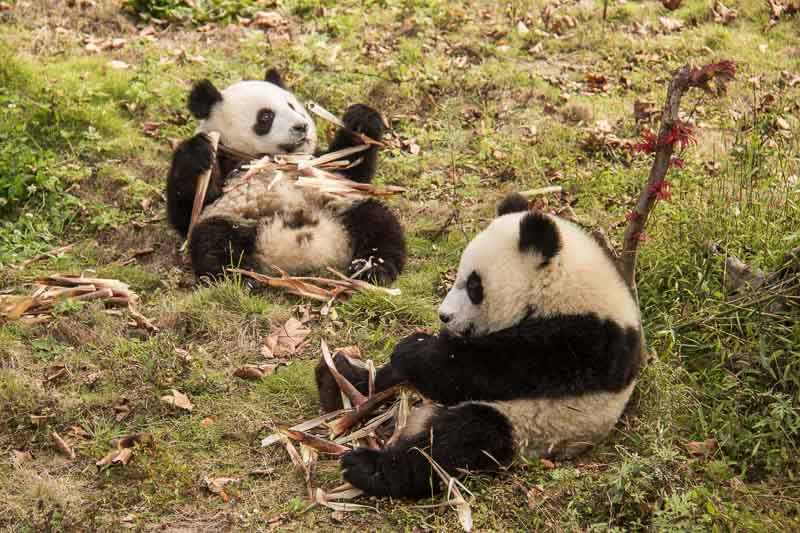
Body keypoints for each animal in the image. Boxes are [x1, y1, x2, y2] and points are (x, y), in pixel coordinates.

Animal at [166, 68, 406, 285]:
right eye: (266, 116)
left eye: (292, 106)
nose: (302, 126)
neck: (274, 158)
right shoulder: (225, 171)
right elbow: (187, 213)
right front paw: (196, 152)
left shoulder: (317, 166)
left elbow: (351, 168)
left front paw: (361, 119)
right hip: (236, 217)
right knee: (212, 239)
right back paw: (243, 277)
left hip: (341, 206)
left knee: (377, 221)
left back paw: (372, 268)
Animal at [315, 192, 643, 498]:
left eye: (475, 286)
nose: (444, 316)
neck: (564, 290)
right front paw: (412, 347)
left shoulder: (583, 342)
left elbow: (489, 368)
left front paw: (412, 350)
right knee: (393, 385)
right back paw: (338, 379)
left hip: (529, 426)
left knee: (460, 438)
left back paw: (368, 467)